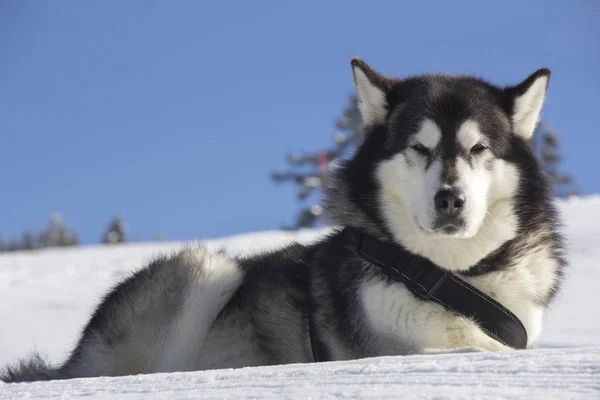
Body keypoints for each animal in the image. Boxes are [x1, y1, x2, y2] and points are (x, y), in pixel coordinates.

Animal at [1, 58, 564, 382]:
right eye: (419, 148)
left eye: (478, 149)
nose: (451, 200)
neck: (446, 276)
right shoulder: (392, 348)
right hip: (206, 268)